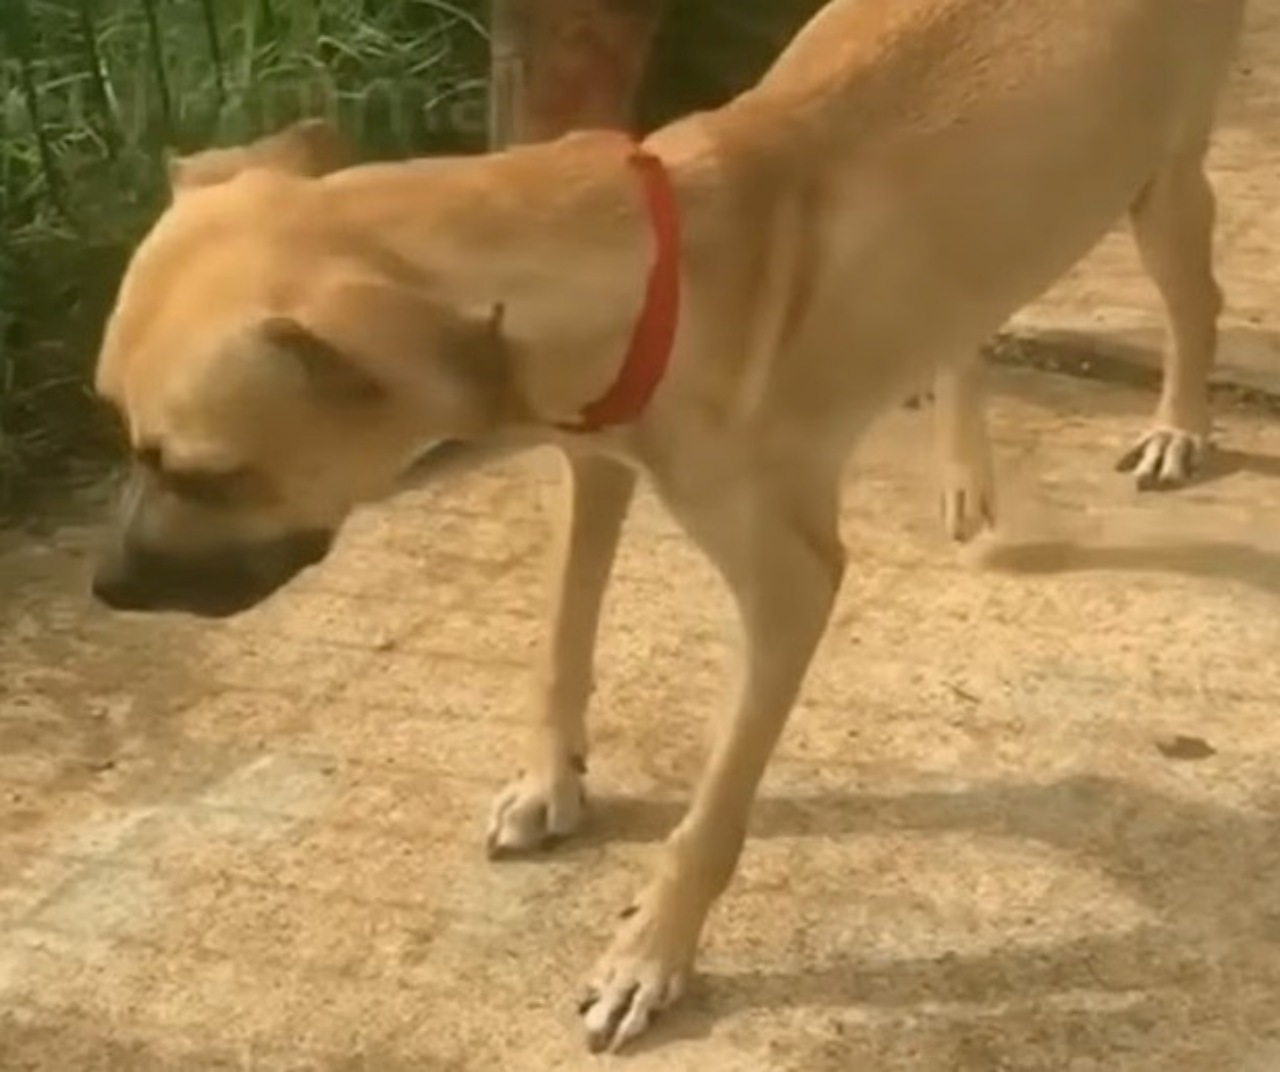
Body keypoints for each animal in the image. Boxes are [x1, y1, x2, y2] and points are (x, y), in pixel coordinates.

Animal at [94, 0, 1244, 1059]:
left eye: (207, 472)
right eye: (112, 419)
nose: (104, 588)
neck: (656, 272)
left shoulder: (789, 590)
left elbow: (710, 816)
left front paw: (650, 955)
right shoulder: (594, 467)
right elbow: (560, 644)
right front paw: (551, 782)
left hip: (1160, 183)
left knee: (1196, 297)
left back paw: (1176, 426)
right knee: (965, 317)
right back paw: (966, 472)